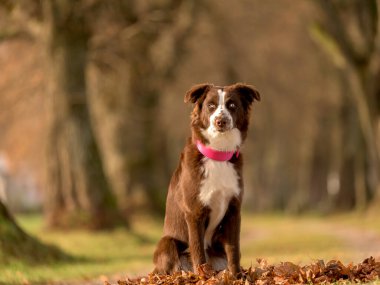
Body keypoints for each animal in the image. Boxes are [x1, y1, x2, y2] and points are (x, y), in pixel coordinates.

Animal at [153, 82, 260, 276]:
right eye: (211, 105)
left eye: (232, 105)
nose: (221, 121)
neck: (218, 154)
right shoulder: (194, 212)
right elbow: (197, 250)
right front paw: (204, 277)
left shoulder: (233, 210)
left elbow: (234, 250)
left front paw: (236, 276)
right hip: (167, 243)